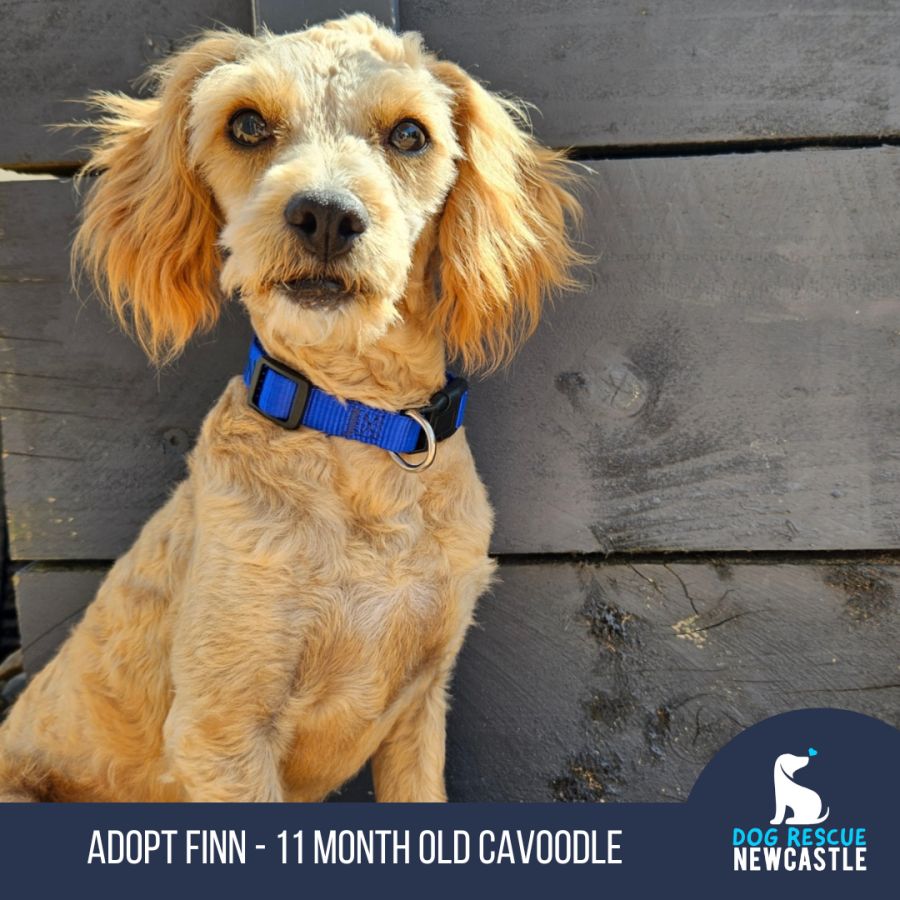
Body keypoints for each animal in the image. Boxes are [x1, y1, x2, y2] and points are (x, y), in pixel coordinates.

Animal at [0, 13, 580, 802]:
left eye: (409, 134)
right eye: (247, 124)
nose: (326, 214)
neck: (355, 420)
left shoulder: (421, 707)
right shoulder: (222, 734)